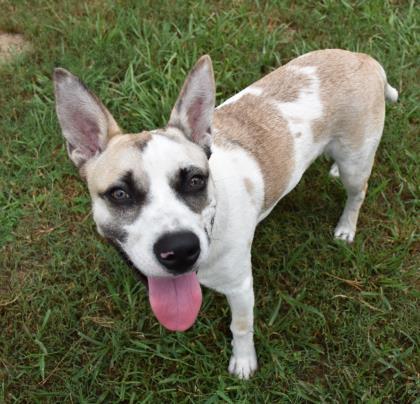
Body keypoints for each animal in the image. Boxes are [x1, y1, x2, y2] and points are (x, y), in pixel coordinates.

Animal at [54, 49, 398, 378]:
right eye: (120, 194)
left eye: (195, 180)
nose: (180, 250)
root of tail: (362, 58)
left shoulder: (241, 286)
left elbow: (241, 327)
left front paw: (244, 363)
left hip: (357, 161)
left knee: (358, 192)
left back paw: (346, 227)